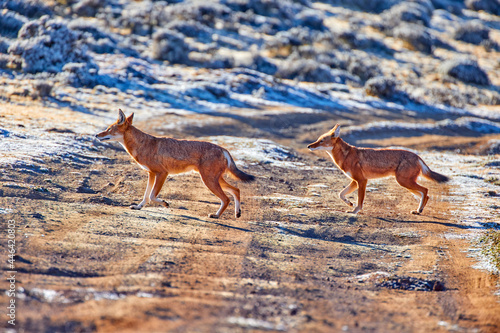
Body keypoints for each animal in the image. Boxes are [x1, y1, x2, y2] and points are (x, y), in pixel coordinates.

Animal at [96, 109, 256, 218]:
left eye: (108, 129)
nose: (96, 135)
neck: (142, 145)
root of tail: (224, 149)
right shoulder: (151, 174)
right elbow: (146, 196)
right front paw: (138, 207)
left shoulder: (162, 173)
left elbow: (152, 196)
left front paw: (165, 203)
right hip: (213, 180)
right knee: (236, 190)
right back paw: (237, 213)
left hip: (208, 181)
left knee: (226, 198)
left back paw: (216, 216)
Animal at [306, 123, 452, 214]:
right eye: (317, 139)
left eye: (321, 141)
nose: (309, 146)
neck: (346, 156)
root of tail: (417, 156)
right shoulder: (355, 181)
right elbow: (341, 194)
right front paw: (349, 204)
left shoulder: (362, 181)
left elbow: (360, 201)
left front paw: (354, 211)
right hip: (406, 184)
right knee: (425, 194)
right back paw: (418, 211)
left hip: (404, 182)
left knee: (425, 190)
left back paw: (419, 210)